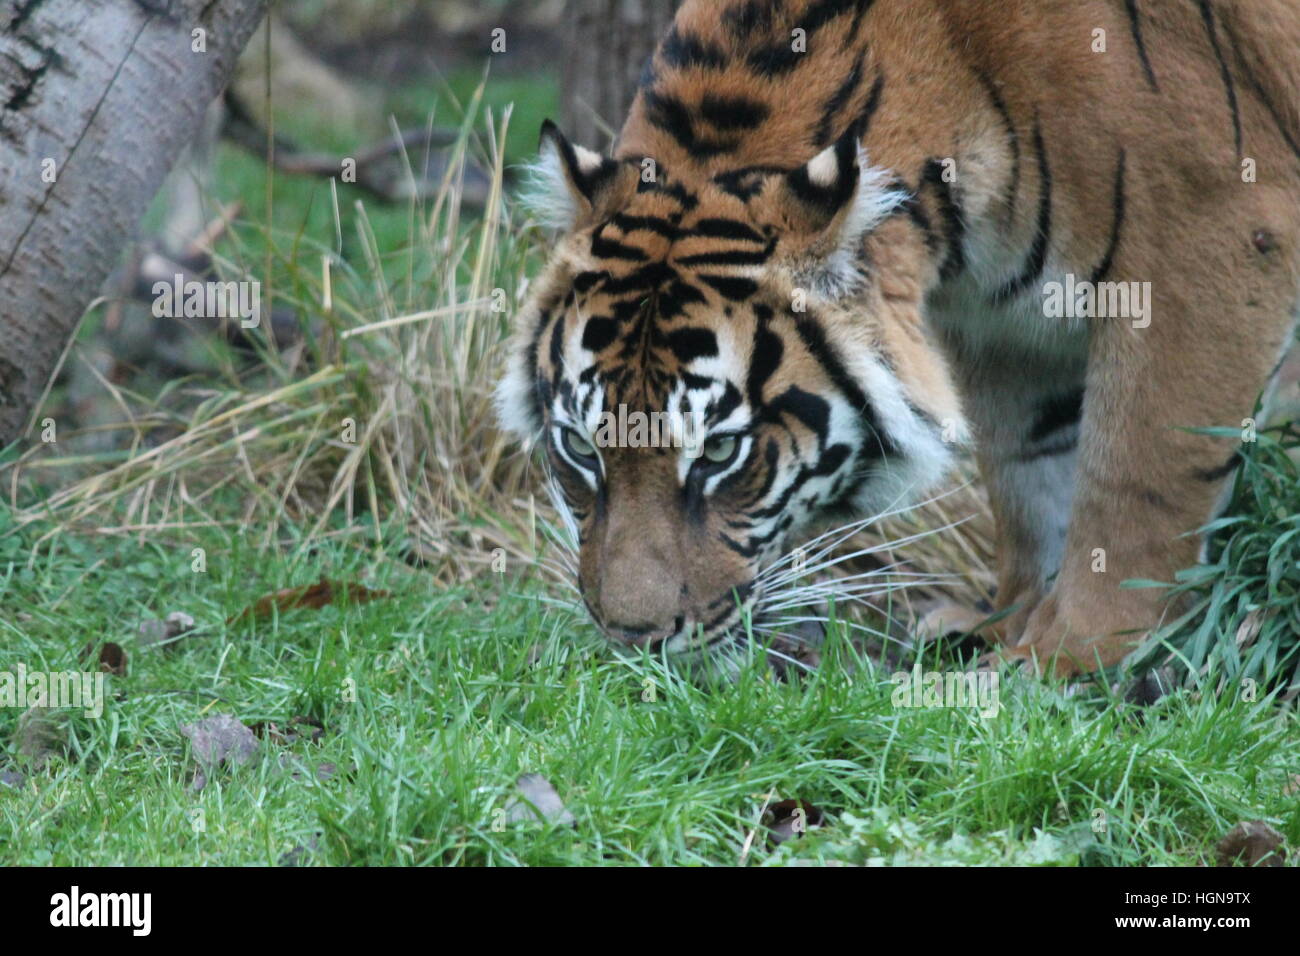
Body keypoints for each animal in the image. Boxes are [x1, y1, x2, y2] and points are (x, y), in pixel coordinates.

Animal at [493, 0, 1300, 676]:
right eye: (580, 448)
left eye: (721, 452)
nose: (635, 640)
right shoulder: (1009, 328)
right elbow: (1034, 479)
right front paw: (1008, 635)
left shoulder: (1210, 235)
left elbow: (1137, 483)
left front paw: (1072, 661)